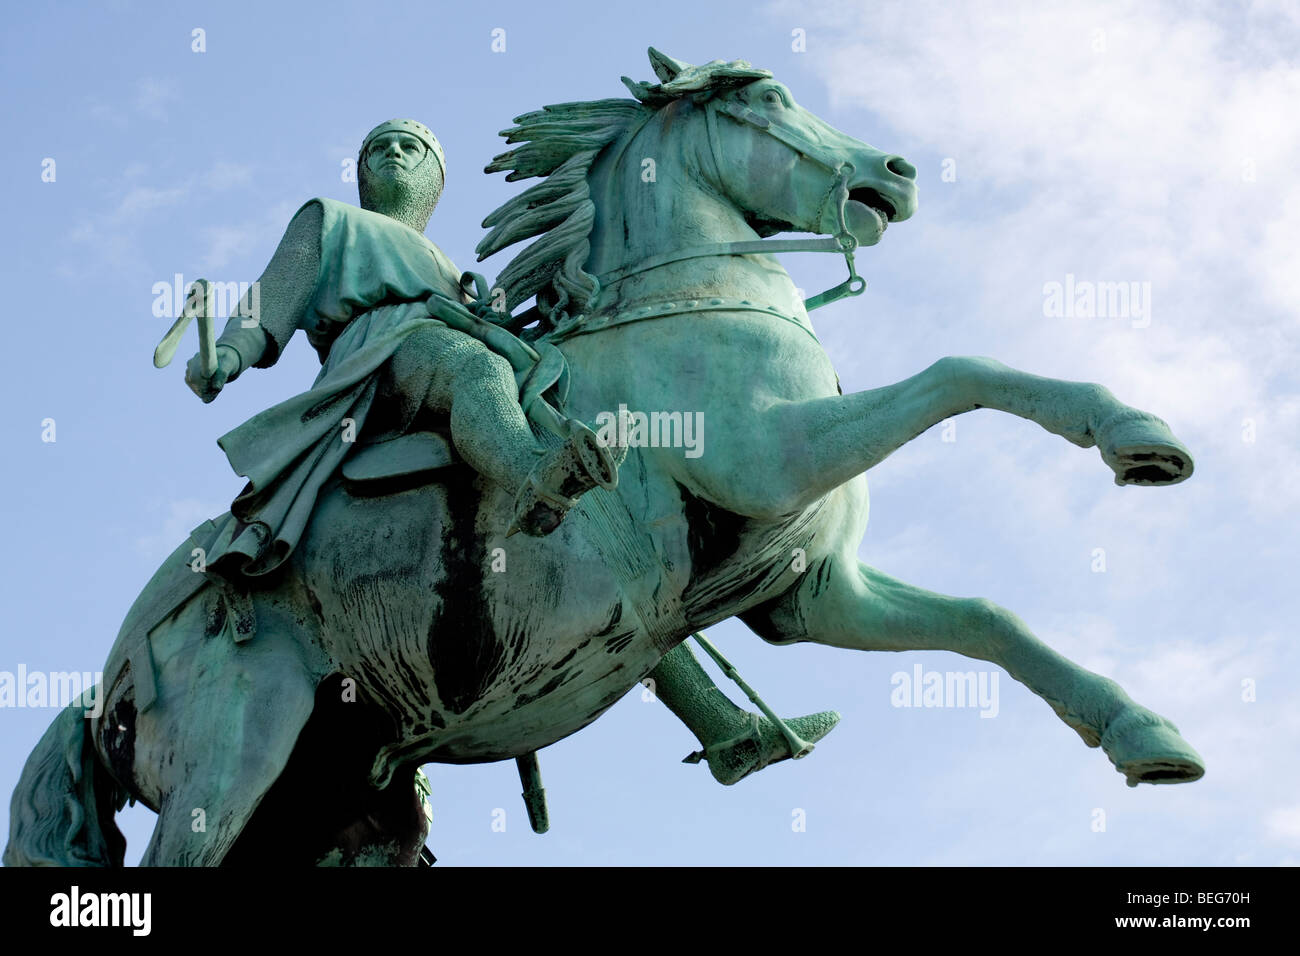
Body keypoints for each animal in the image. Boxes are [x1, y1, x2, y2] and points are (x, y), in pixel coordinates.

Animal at [5, 46, 1201, 868]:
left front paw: (1142, 732)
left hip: (347, 808)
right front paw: (1135, 435)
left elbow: (986, 619)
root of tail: (105, 682)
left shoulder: (809, 591)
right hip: (230, 761)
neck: (686, 305)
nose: (896, 172)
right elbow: (962, 369)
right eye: (767, 98)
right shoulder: (775, 458)